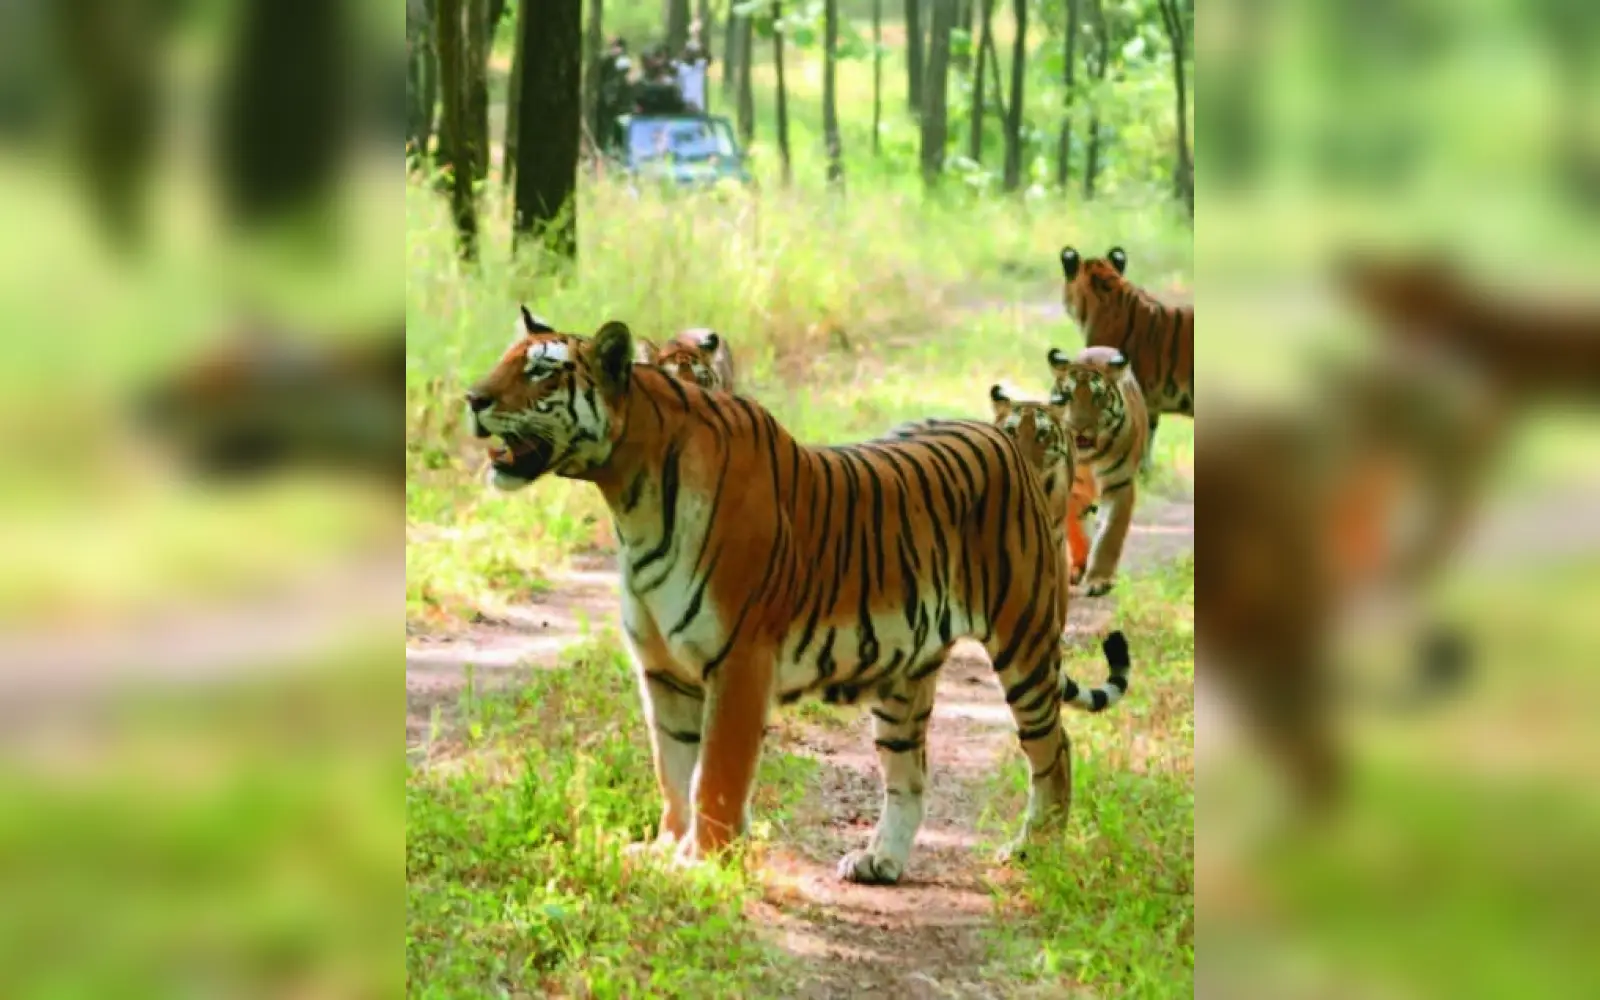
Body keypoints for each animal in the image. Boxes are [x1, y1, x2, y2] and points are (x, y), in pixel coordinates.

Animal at [1045, 345, 1150, 597]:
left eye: (1098, 397)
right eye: (1067, 396)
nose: (1079, 427)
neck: (1087, 459)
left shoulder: (1119, 485)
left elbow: (1109, 535)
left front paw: (1099, 580)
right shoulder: (1067, 490)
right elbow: (1076, 530)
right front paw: (1080, 566)